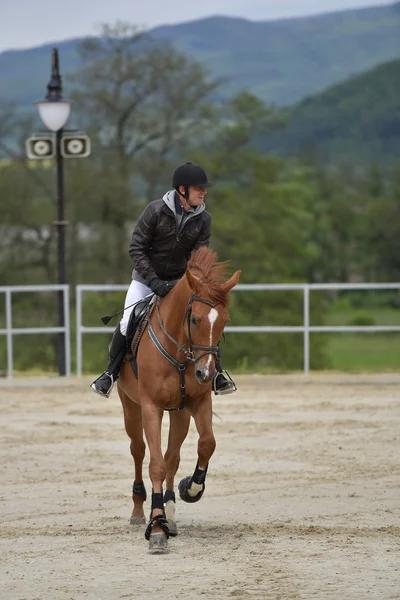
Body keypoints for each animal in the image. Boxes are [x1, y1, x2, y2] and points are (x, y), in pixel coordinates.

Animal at [115, 247, 241, 552]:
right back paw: (139, 510)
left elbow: (206, 444)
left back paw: (170, 511)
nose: (206, 373)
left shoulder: (196, 403)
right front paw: (156, 528)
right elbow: (155, 464)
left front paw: (190, 489)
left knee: (172, 456)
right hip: (130, 406)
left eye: (224, 321)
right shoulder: (151, 407)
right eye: (194, 319)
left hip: (179, 413)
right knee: (138, 450)